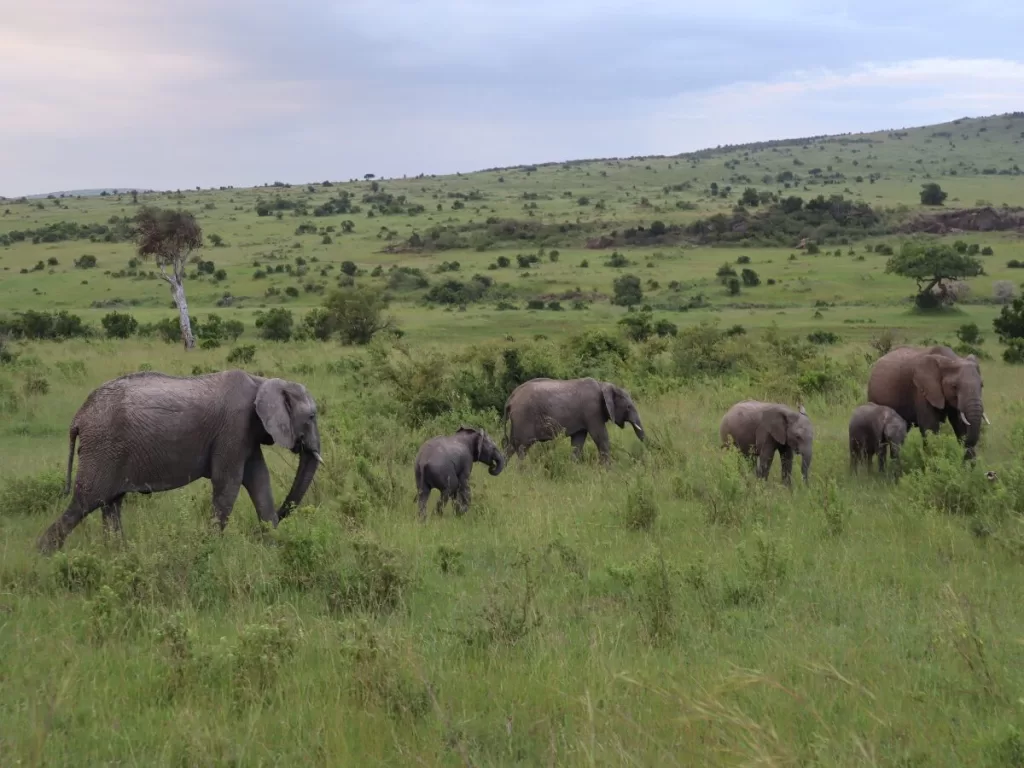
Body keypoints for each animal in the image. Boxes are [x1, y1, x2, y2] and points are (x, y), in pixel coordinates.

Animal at [37, 370, 319, 557]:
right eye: (312, 416)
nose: (283, 515)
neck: (262, 380)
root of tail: (78, 417)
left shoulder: (246, 434)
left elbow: (259, 480)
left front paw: (273, 545)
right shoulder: (234, 428)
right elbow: (228, 484)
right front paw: (210, 548)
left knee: (110, 503)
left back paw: (118, 554)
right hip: (103, 447)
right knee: (86, 502)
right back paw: (43, 555)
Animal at [501, 376, 643, 462]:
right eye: (628, 407)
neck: (603, 385)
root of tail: (511, 398)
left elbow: (577, 442)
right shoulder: (592, 411)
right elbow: (601, 438)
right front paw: (609, 473)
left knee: (511, 446)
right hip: (524, 417)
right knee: (522, 448)